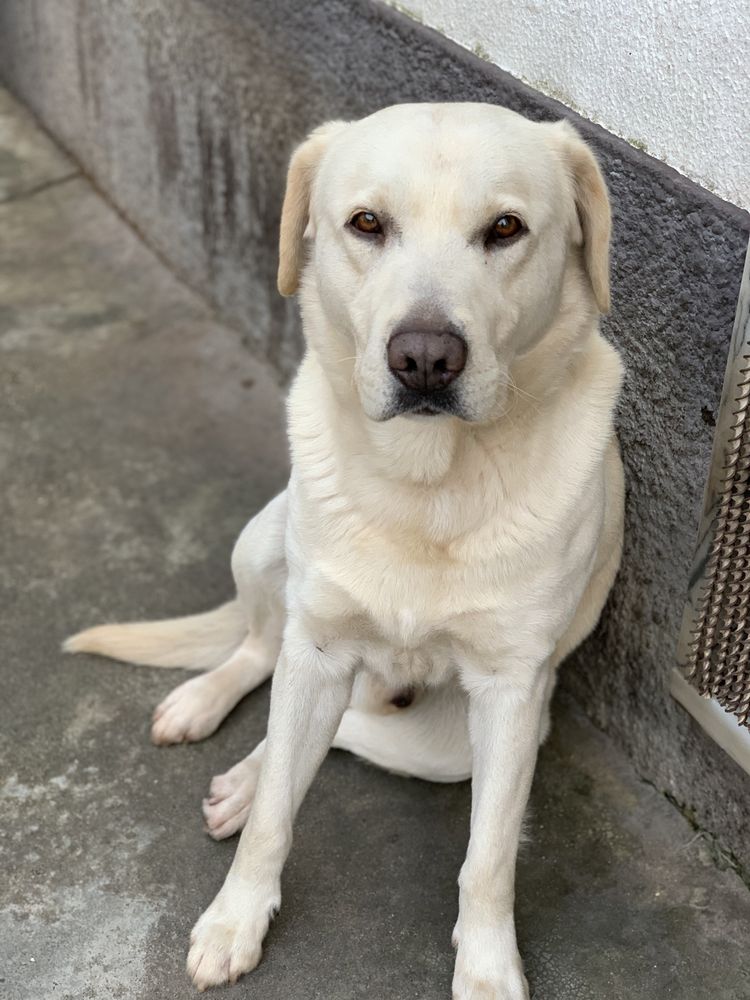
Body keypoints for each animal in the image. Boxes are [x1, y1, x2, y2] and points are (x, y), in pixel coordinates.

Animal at [67, 105, 624, 996]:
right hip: (265, 550)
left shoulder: (510, 695)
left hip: (451, 743)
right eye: (367, 223)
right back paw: (210, 715)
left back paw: (245, 777)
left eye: (505, 229)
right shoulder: (320, 645)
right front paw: (236, 918)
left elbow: (489, 859)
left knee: (342, 730)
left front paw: (487, 968)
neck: (426, 488)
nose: (425, 357)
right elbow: (274, 819)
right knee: (262, 652)